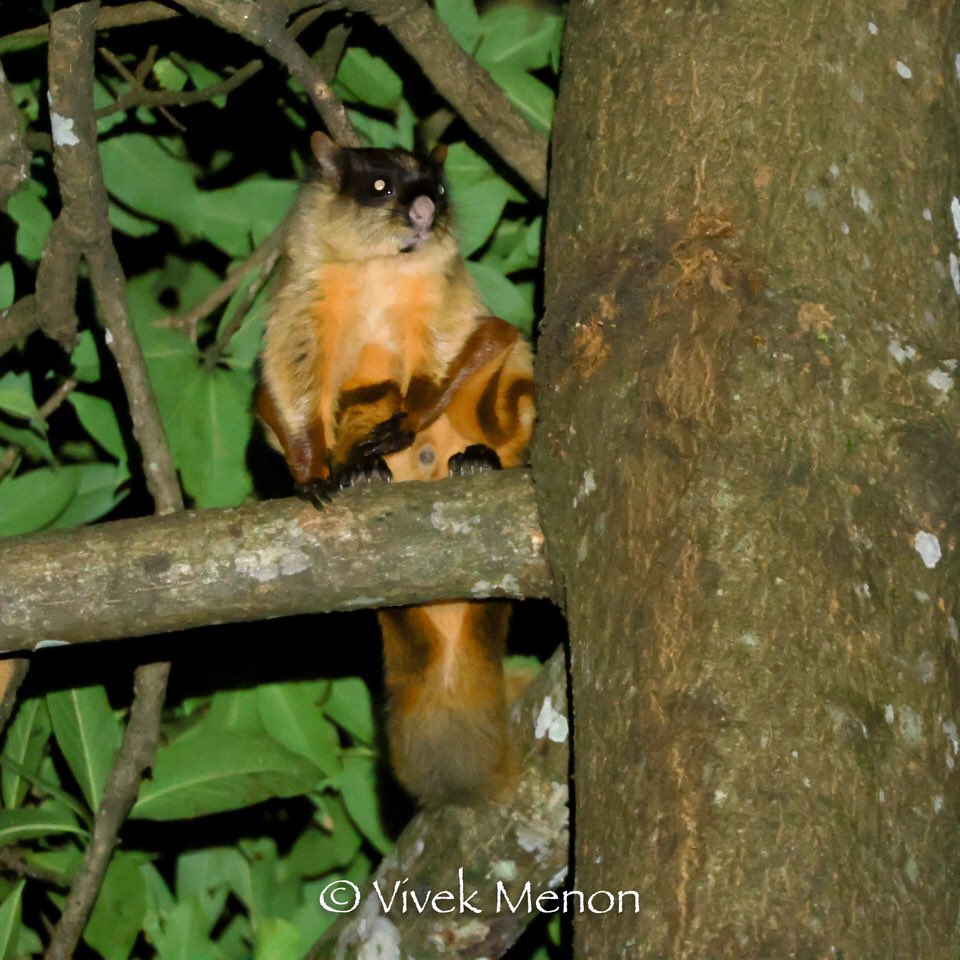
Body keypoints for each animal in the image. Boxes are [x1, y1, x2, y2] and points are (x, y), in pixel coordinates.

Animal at [258, 132, 535, 804]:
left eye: (436, 188)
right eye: (380, 186)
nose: (425, 207)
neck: (382, 267)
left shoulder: (446, 301)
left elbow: (468, 349)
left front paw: (411, 423)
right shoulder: (302, 298)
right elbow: (287, 388)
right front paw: (315, 474)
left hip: (505, 399)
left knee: (504, 362)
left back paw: (479, 460)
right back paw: (365, 472)